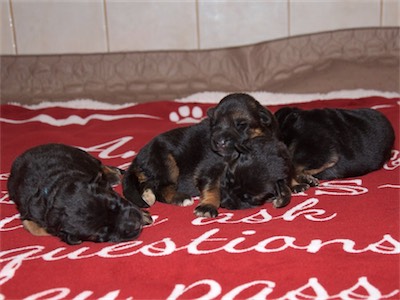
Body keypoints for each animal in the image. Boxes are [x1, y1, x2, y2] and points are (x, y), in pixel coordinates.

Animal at [7, 144, 152, 245]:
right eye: (103, 231)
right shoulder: (28, 212)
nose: (134, 224)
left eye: (114, 203)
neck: (55, 189)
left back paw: (112, 173)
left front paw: (143, 215)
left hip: (81, 154)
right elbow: (33, 227)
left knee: (99, 164)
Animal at [123, 92, 280, 217]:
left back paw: (148, 195)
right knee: (162, 187)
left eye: (241, 125)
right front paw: (208, 207)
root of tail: (138, 159)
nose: (219, 142)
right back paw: (180, 198)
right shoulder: (210, 169)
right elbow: (212, 188)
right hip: (166, 161)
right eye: (214, 124)